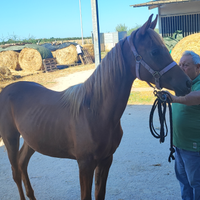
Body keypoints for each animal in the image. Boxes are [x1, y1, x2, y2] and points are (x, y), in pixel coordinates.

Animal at [0, 15, 191, 200]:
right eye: (155, 51)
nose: (187, 83)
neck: (94, 112)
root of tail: (7, 90)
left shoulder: (106, 160)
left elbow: (100, 194)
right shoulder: (85, 164)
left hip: (31, 140)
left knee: (22, 163)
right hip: (11, 138)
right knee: (15, 171)